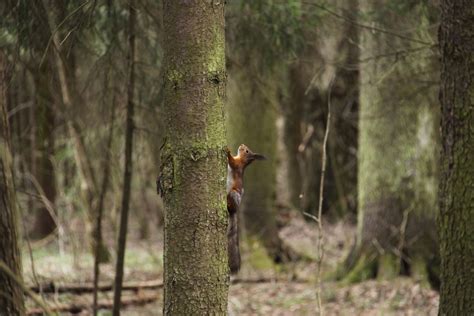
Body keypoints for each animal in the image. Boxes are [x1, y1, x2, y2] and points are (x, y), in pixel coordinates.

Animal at [225, 144, 264, 272]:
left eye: (247, 151)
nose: (241, 145)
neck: (241, 159)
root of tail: (235, 211)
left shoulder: (237, 165)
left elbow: (232, 161)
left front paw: (228, 151)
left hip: (233, 194)